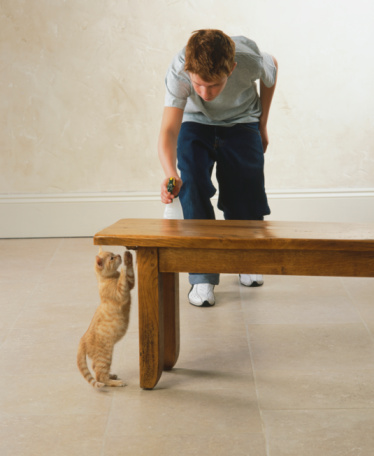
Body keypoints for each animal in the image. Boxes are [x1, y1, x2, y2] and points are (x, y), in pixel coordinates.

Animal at [76, 249, 135, 388]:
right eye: (112, 258)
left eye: (113, 254)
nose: (118, 255)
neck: (110, 277)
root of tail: (82, 339)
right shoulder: (121, 293)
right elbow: (123, 280)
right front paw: (124, 266)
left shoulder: (130, 284)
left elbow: (130, 275)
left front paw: (128, 258)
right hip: (105, 355)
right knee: (100, 375)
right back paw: (116, 382)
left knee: (95, 369)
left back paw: (111, 375)